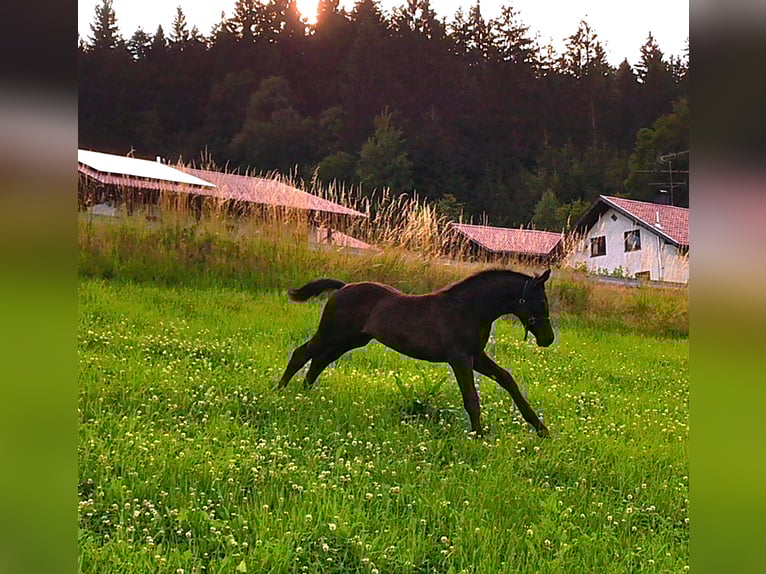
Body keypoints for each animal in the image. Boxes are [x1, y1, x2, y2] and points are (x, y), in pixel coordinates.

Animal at [277, 268, 554, 437]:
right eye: (540, 302)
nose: (548, 339)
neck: (468, 309)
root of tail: (343, 287)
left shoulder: (476, 355)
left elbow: (507, 379)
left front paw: (541, 428)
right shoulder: (459, 358)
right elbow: (471, 398)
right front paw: (479, 435)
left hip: (349, 340)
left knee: (319, 360)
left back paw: (304, 394)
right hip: (332, 334)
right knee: (302, 354)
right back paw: (280, 392)